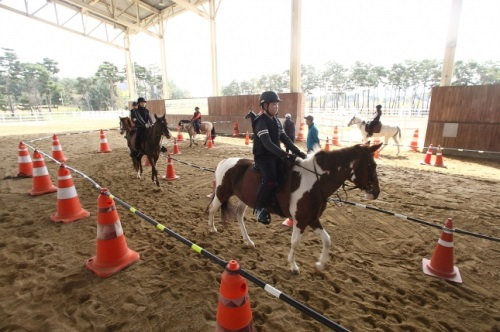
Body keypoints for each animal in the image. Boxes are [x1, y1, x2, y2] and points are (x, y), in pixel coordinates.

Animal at [205, 143, 380, 274]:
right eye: (371, 165)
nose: (376, 192)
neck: (315, 181)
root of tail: (225, 161)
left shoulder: (312, 219)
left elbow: (327, 240)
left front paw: (320, 265)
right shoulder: (301, 220)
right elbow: (295, 242)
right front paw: (293, 266)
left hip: (244, 199)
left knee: (239, 215)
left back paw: (248, 241)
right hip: (221, 193)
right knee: (212, 209)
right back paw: (212, 229)